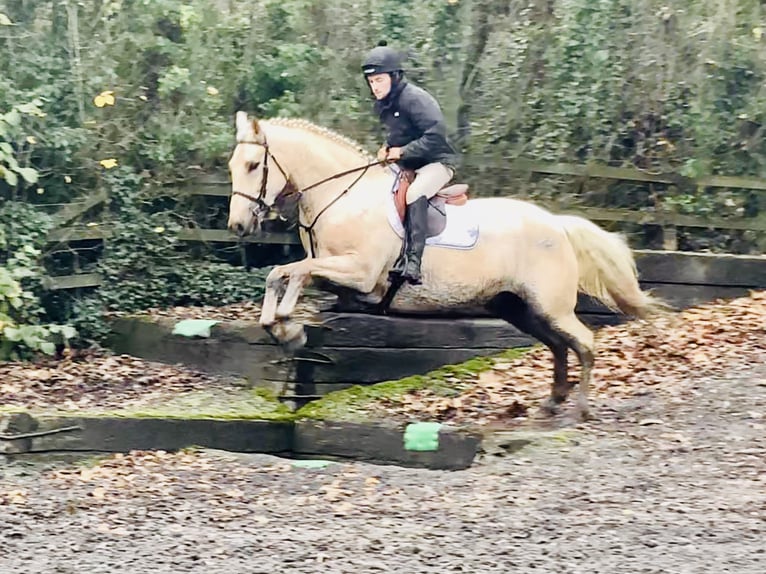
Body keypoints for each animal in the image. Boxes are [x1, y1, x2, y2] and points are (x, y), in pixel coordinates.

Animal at [226, 111, 669, 420]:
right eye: (233, 165)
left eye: (253, 166)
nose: (238, 226)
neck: (343, 196)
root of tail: (557, 224)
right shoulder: (335, 274)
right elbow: (282, 274)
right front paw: (284, 329)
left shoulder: (360, 274)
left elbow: (295, 274)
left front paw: (291, 329)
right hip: (519, 308)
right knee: (560, 345)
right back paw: (553, 401)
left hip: (550, 306)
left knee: (584, 342)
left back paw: (579, 408)